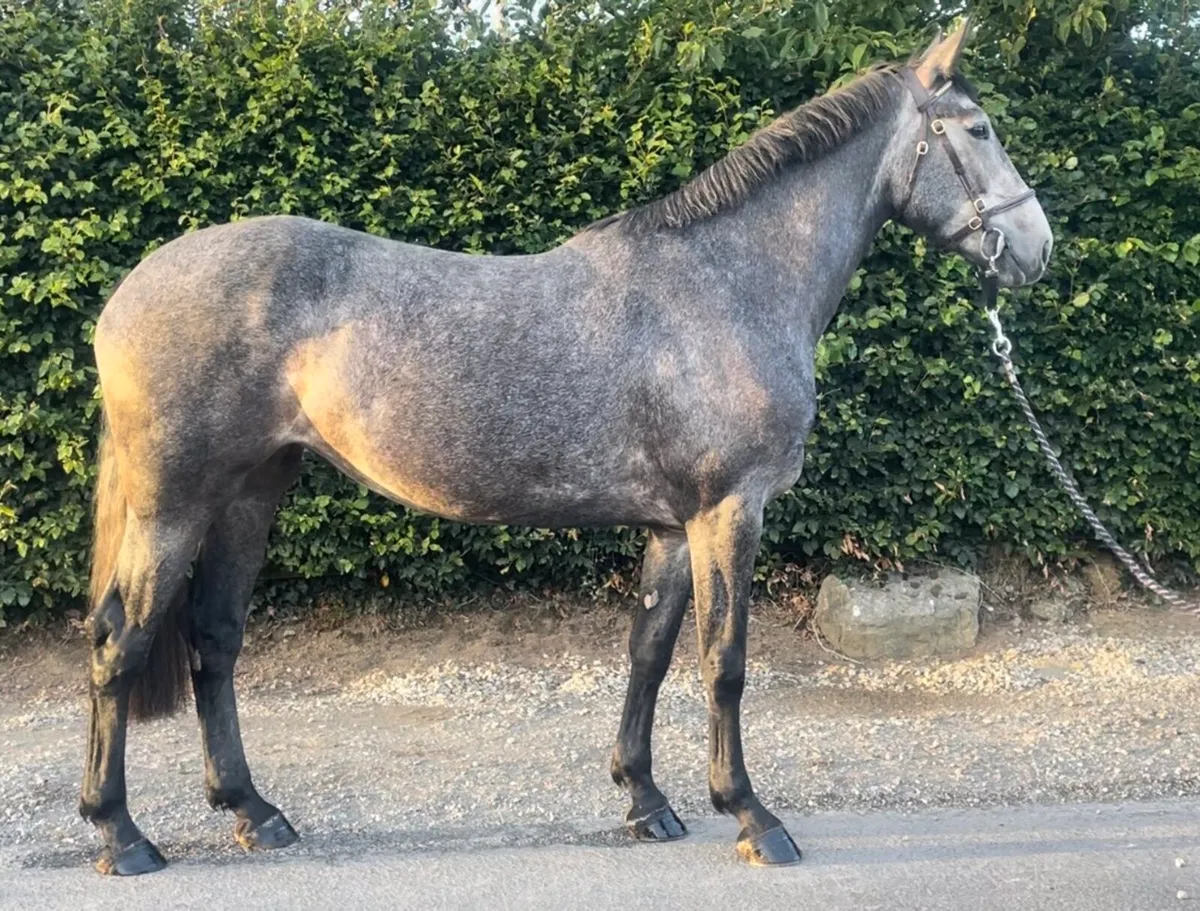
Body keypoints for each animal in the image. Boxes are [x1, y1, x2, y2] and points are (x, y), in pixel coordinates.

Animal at [79, 20, 1052, 874]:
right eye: (978, 128)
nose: (1036, 249)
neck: (723, 285)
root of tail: (126, 293)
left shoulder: (672, 524)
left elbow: (650, 651)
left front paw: (646, 800)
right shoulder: (729, 510)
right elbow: (725, 661)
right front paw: (751, 816)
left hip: (252, 490)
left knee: (214, 638)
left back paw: (252, 810)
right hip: (174, 505)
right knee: (118, 642)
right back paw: (121, 833)